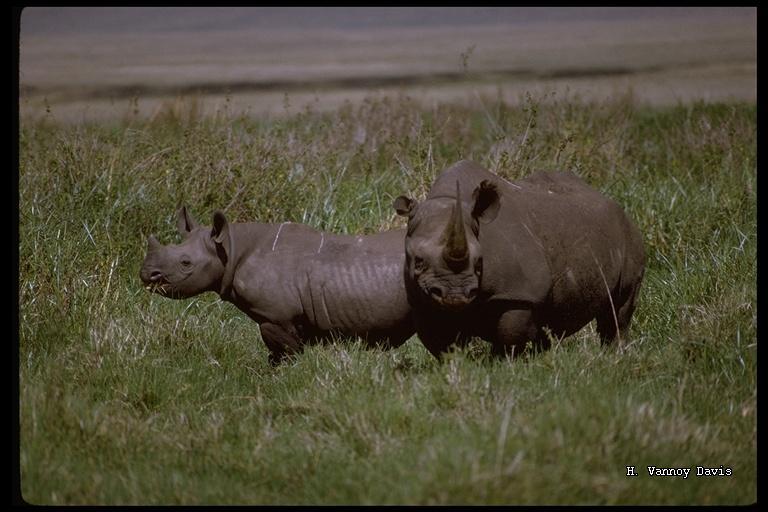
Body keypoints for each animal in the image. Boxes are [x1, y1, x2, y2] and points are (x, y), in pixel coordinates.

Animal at [392, 162, 644, 358]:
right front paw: (455, 365)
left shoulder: (520, 293)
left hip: (629, 235)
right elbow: (442, 342)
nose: (455, 297)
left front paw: (501, 364)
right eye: (418, 261)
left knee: (618, 309)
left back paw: (614, 355)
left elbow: (509, 335)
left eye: (480, 262)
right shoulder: (422, 298)